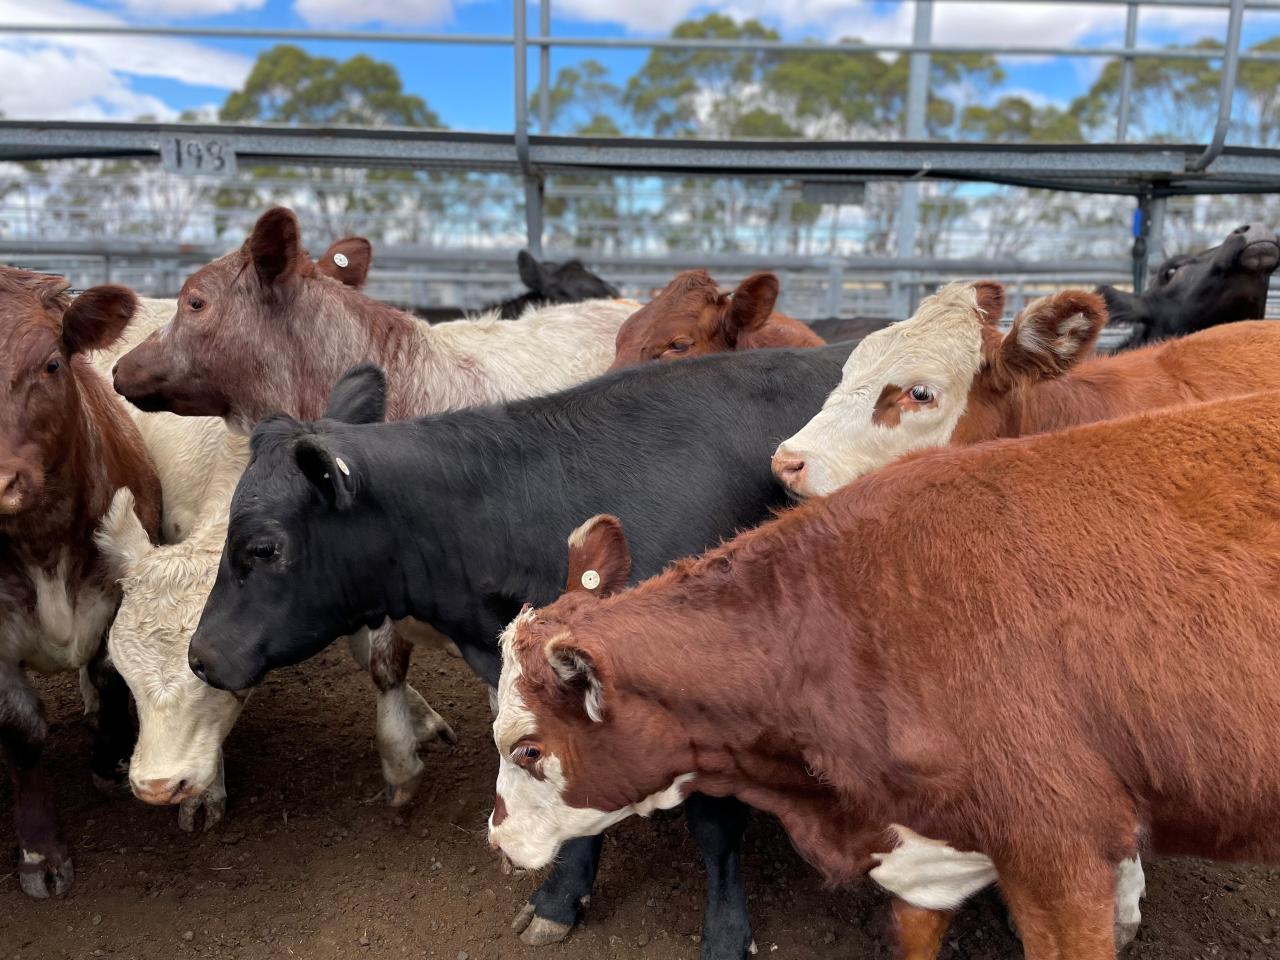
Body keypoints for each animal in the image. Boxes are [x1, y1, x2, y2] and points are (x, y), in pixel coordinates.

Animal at [0, 268, 163, 897]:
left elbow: (110, 670)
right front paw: (40, 851)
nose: (0, 480)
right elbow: (22, 727)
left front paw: (111, 762)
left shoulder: (117, 588)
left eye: (51, 363)